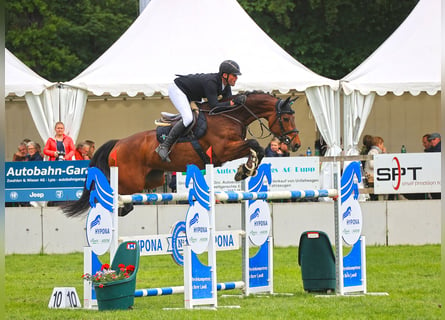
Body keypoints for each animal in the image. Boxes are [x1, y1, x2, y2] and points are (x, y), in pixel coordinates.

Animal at [60, 91, 300, 219]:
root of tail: (118, 143)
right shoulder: (222, 151)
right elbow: (254, 144)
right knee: (110, 191)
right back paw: (119, 207)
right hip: (131, 181)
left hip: (153, 179)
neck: (231, 116)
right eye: (286, 118)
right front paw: (246, 169)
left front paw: (245, 169)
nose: (296, 144)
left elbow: (255, 149)